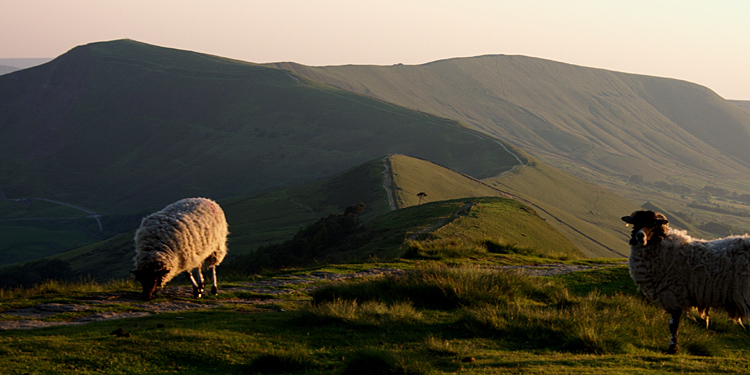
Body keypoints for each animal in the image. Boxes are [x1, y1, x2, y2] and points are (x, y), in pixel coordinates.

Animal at [624, 212, 750, 356]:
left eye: (653, 223)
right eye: (635, 222)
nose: (640, 235)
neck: (663, 248)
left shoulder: (674, 294)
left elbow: (673, 325)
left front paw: (673, 349)